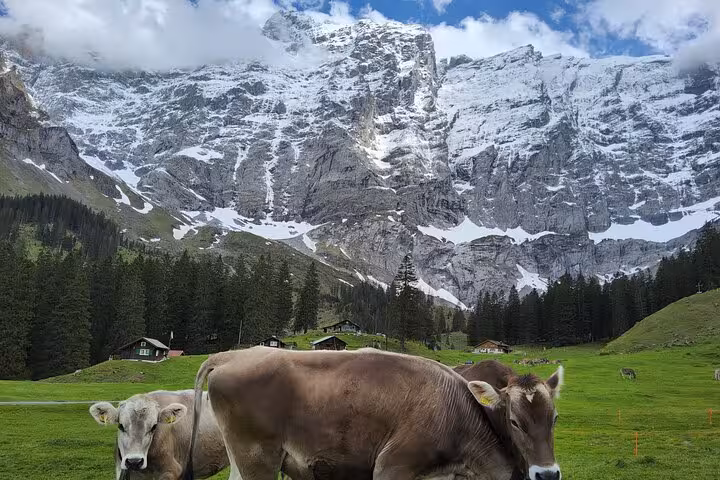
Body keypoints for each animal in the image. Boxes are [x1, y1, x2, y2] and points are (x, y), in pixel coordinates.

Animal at [184, 347, 564, 480]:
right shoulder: (391, 466)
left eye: (555, 418)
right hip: (258, 459)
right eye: (513, 420)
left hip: (242, 460)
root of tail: (232, 355)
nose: (548, 474)